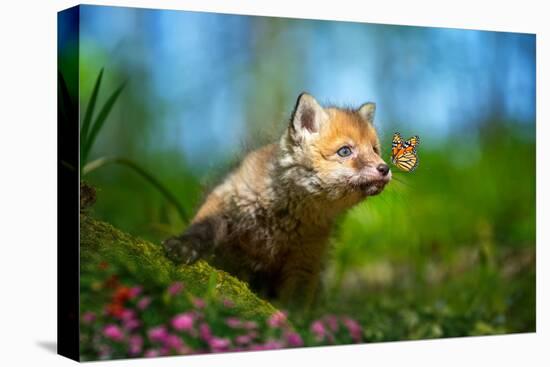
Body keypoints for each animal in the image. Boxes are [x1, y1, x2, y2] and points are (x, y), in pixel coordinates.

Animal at [164, 93, 392, 310]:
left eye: (375, 149)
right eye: (345, 151)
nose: (385, 169)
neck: (282, 215)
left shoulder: (306, 257)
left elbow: (297, 304)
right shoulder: (225, 200)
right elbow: (202, 228)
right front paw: (182, 246)